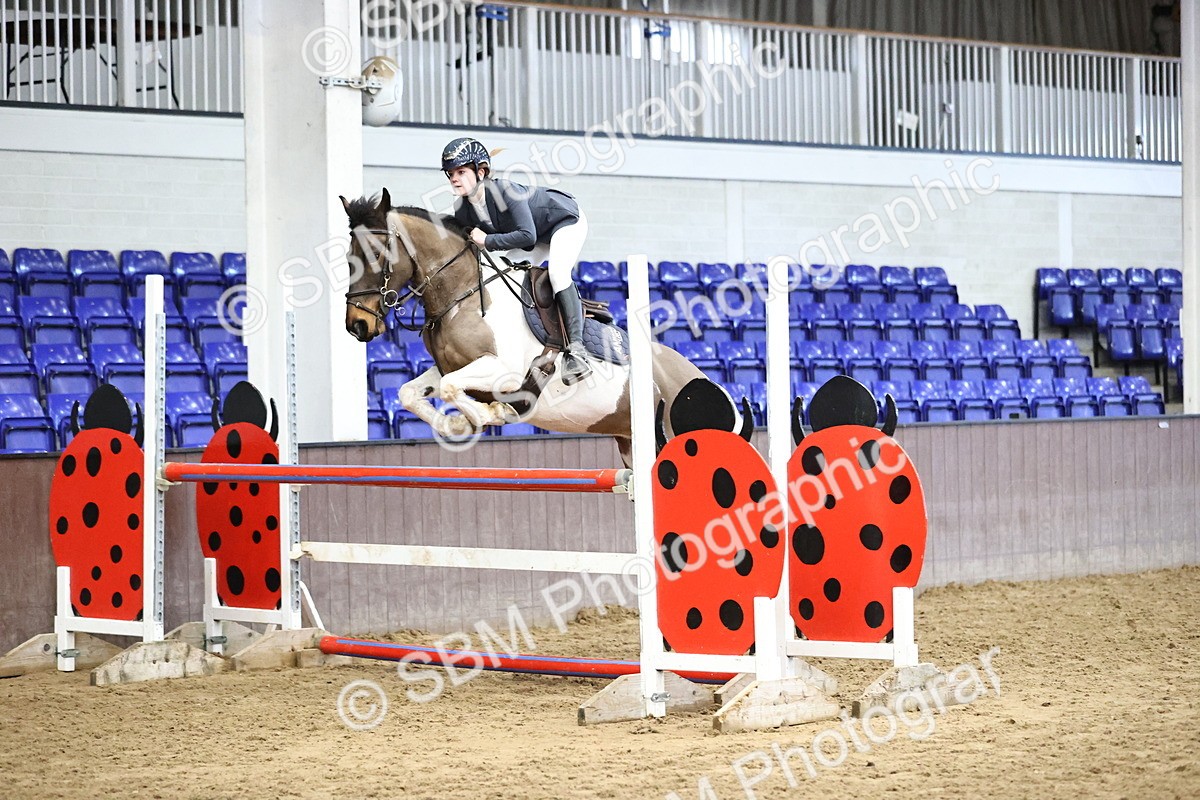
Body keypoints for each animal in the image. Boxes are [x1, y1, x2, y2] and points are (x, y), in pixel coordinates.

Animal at [340, 189, 749, 466]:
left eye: (376, 254)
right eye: (348, 257)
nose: (357, 325)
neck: (462, 293)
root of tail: (705, 381)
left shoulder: (503, 372)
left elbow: (451, 388)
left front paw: (492, 415)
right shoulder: (449, 367)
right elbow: (413, 392)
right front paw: (455, 426)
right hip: (633, 446)